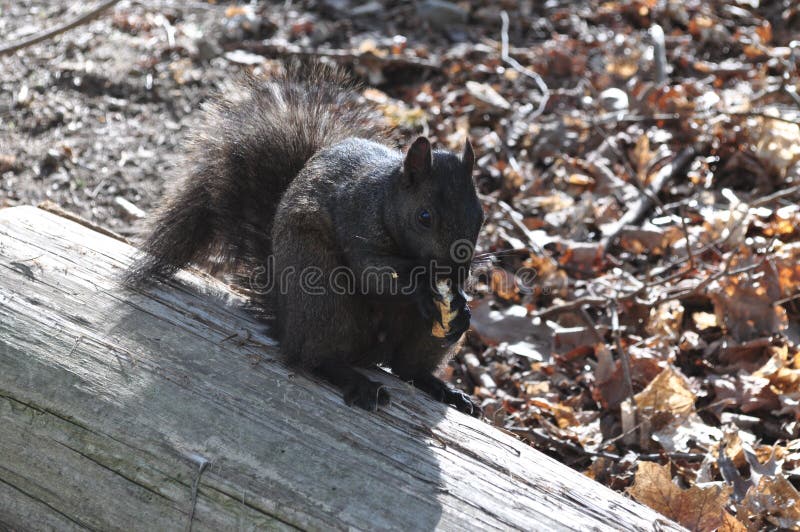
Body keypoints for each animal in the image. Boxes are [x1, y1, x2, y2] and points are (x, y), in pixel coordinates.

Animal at [126, 64, 484, 415]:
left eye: (481, 217)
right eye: (424, 217)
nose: (455, 273)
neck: (384, 200)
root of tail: (287, 325)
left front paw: (462, 303)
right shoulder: (357, 221)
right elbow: (374, 273)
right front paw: (423, 289)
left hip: (415, 337)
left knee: (408, 369)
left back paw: (445, 387)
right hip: (323, 299)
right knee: (315, 358)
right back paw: (357, 381)